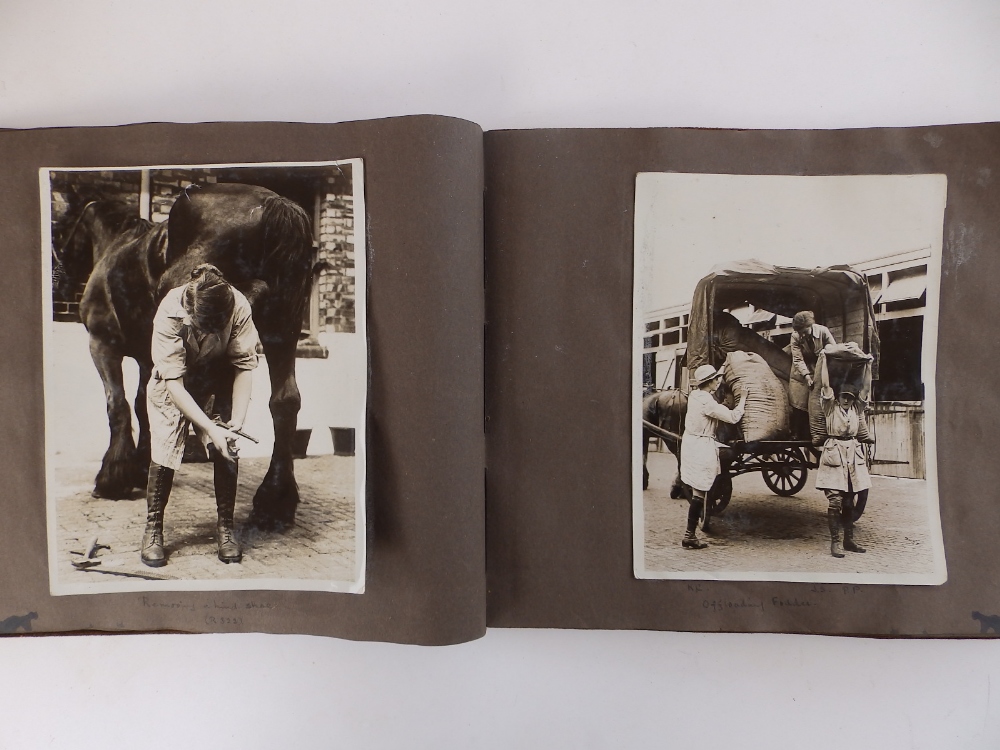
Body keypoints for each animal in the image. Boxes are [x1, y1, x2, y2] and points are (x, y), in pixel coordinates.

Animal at [50, 184, 314, 532]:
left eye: (64, 226)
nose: (62, 282)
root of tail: (275, 204)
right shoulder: (150, 359)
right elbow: (145, 407)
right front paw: (141, 466)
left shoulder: (101, 344)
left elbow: (118, 405)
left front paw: (114, 476)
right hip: (284, 332)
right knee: (284, 401)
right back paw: (274, 503)